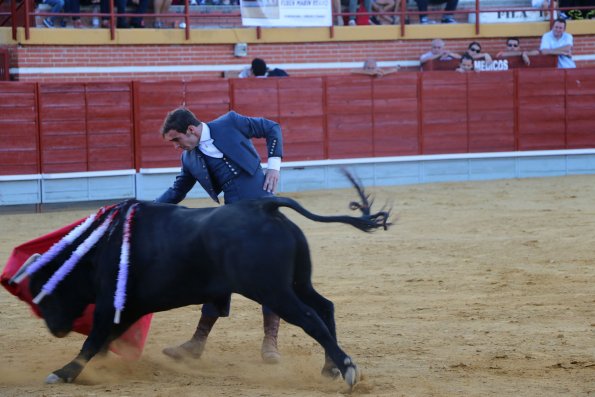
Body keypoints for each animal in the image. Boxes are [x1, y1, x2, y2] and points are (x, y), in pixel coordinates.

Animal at [10, 176, 392, 386]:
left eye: (45, 293)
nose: (56, 329)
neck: (99, 248)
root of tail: (264, 206)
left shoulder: (110, 304)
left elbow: (92, 340)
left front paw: (63, 373)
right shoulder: (130, 307)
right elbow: (104, 341)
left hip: (273, 290)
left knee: (310, 318)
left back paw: (347, 368)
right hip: (297, 283)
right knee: (324, 308)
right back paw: (330, 368)